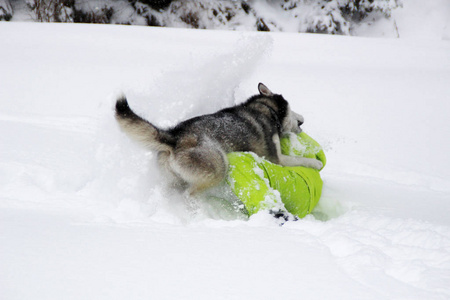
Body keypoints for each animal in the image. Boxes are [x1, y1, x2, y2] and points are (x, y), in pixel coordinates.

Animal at [114, 82, 322, 195]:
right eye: (292, 109)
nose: (303, 119)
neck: (266, 109)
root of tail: (174, 136)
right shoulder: (275, 158)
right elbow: (300, 160)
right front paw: (316, 163)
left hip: (173, 180)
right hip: (219, 167)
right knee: (190, 194)